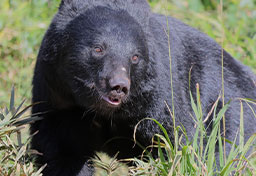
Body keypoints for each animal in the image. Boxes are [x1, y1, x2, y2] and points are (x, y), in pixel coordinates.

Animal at [31, 0, 256, 175]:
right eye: (98, 49)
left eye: (135, 57)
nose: (118, 86)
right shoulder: (58, 95)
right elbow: (62, 150)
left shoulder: (158, 99)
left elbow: (176, 141)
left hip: (232, 110)